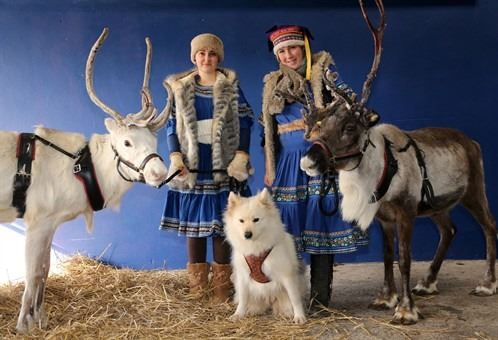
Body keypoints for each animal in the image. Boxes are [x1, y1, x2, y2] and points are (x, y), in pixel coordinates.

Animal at [224, 189, 306, 324]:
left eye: (256, 220)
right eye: (241, 221)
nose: (247, 234)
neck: (256, 248)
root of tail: (269, 300)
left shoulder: (286, 275)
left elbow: (295, 298)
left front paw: (299, 316)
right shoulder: (243, 276)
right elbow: (243, 299)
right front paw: (238, 314)